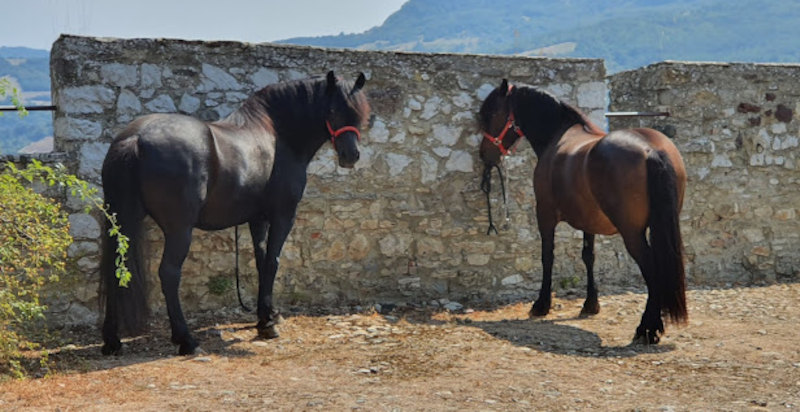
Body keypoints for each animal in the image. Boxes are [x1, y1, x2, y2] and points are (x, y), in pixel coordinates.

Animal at [100, 71, 370, 355]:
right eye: (332, 110)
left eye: (359, 113)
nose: (350, 156)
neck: (277, 134)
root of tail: (136, 139)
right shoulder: (283, 215)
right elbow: (273, 261)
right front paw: (267, 325)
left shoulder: (257, 219)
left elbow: (261, 260)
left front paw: (268, 314)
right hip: (178, 230)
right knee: (169, 273)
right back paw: (186, 340)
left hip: (122, 222)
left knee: (114, 269)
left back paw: (112, 341)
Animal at [478, 79, 687, 344]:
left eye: (492, 113)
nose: (485, 153)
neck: (559, 133)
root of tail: (650, 150)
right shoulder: (590, 221)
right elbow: (589, 256)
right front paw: (590, 304)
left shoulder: (544, 213)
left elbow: (547, 256)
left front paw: (541, 305)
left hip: (632, 234)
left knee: (652, 269)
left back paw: (647, 328)